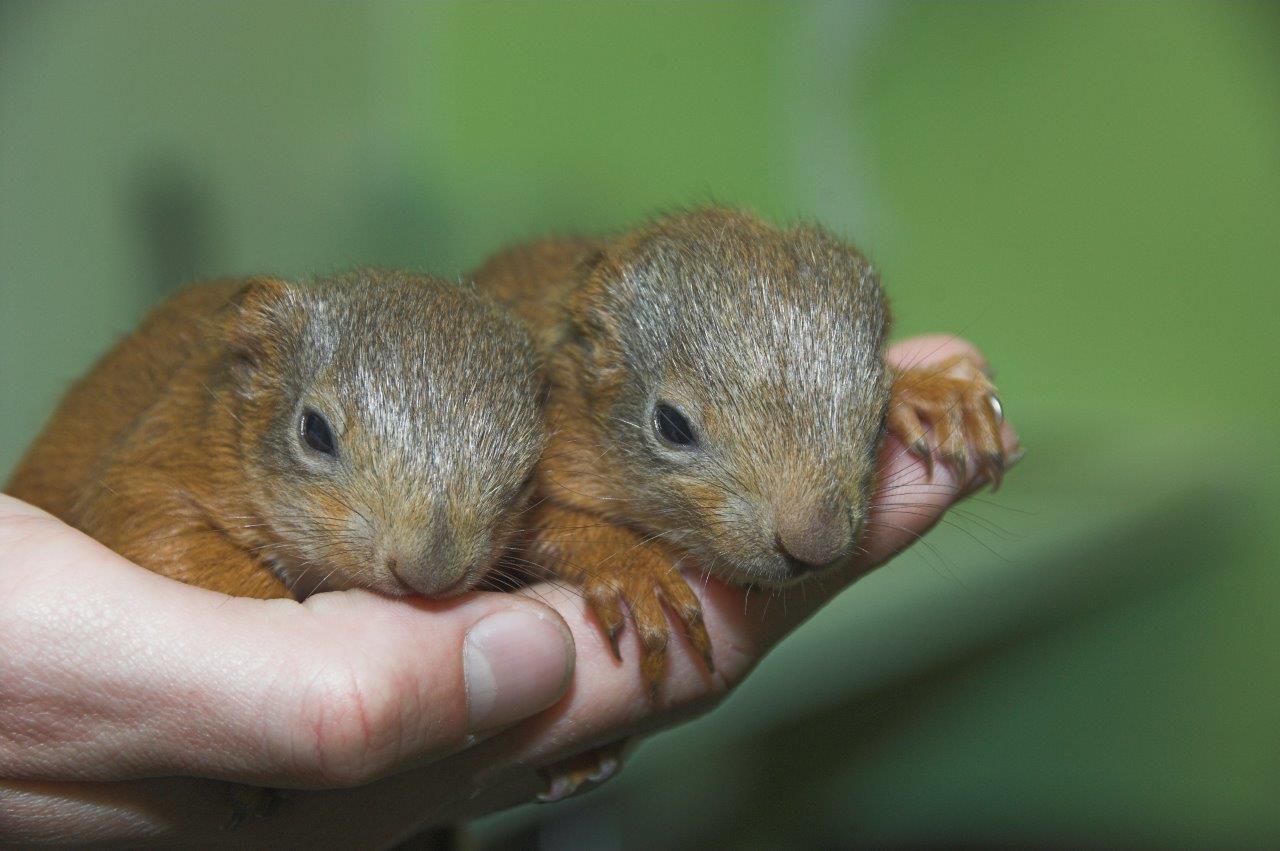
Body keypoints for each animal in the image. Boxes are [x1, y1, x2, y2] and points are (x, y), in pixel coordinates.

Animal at [476, 206, 1003, 691]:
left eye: (878, 419)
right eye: (671, 425)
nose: (817, 544)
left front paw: (930, 395)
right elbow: (534, 529)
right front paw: (632, 567)